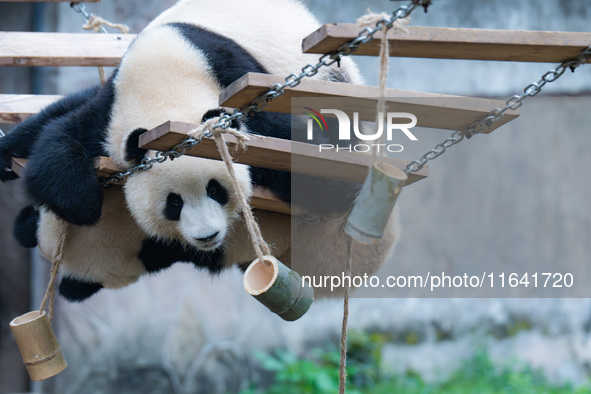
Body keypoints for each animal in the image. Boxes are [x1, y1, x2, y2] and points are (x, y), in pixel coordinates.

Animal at [2, 0, 400, 302]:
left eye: (216, 190)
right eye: (173, 204)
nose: (207, 236)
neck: (164, 89)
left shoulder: (242, 83)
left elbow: (317, 169)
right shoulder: (110, 106)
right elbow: (61, 138)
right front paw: (79, 201)